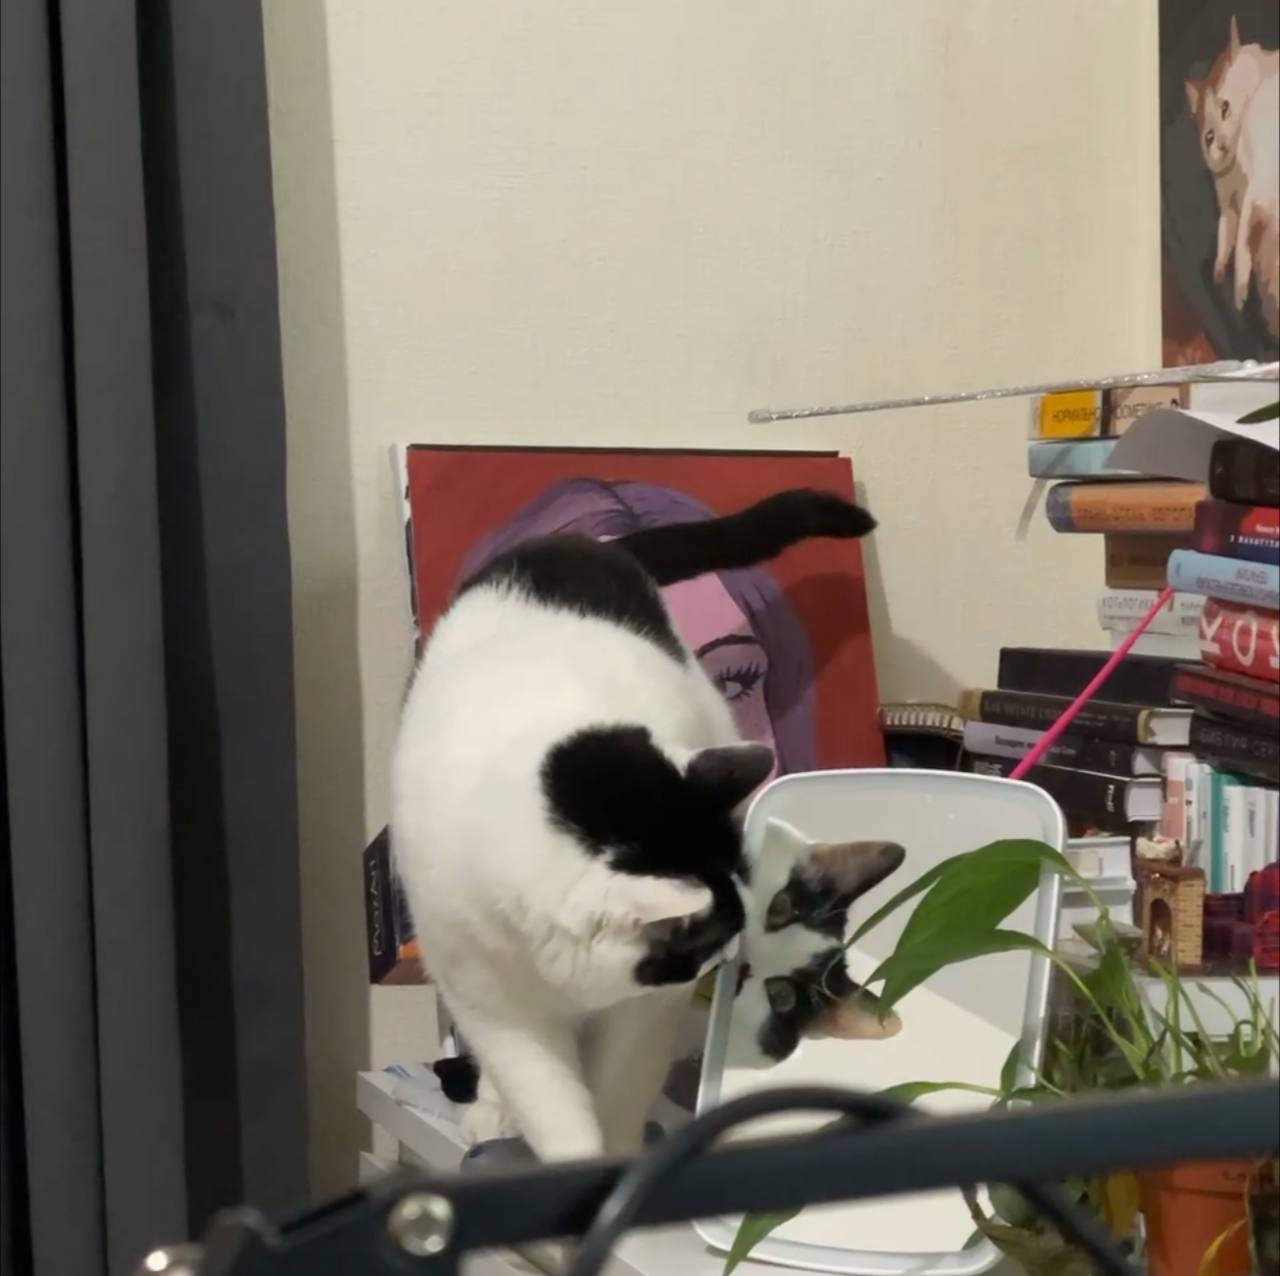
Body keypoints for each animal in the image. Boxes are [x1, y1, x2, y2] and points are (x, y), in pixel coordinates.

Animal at [391, 489, 877, 1162]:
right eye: (710, 938)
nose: (735, 957)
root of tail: (589, 545)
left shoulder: (642, 1011)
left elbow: (620, 1085)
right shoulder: (494, 1002)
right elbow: (547, 1098)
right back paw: (492, 1109)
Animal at [1185, 15, 1280, 333]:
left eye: (1225, 107)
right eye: (1209, 137)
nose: (1223, 145)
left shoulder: (1254, 185)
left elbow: (1239, 243)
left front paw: (1238, 289)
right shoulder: (1229, 204)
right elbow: (1227, 234)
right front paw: (1220, 271)